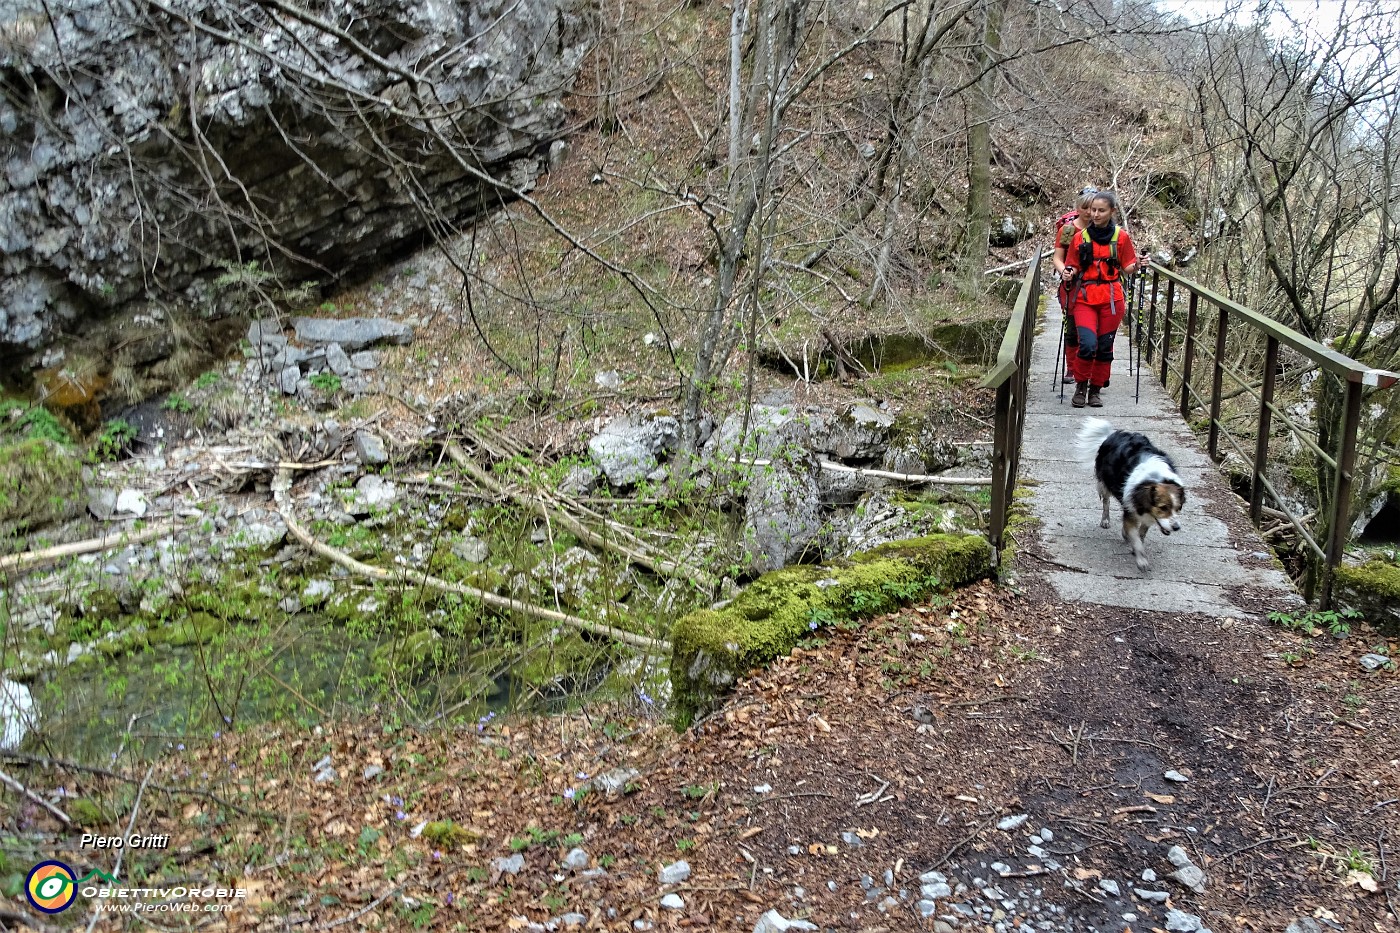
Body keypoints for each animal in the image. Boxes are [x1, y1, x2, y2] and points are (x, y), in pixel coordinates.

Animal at [1075, 417, 1187, 571]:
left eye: (1178, 508)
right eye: (1163, 507)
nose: (1176, 527)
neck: (1155, 478)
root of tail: (1112, 435)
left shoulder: (1145, 514)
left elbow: (1141, 533)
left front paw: (1135, 545)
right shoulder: (1130, 507)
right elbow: (1135, 537)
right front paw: (1141, 560)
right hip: (1105, 484)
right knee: (1106, 502)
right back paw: (1105, 520)